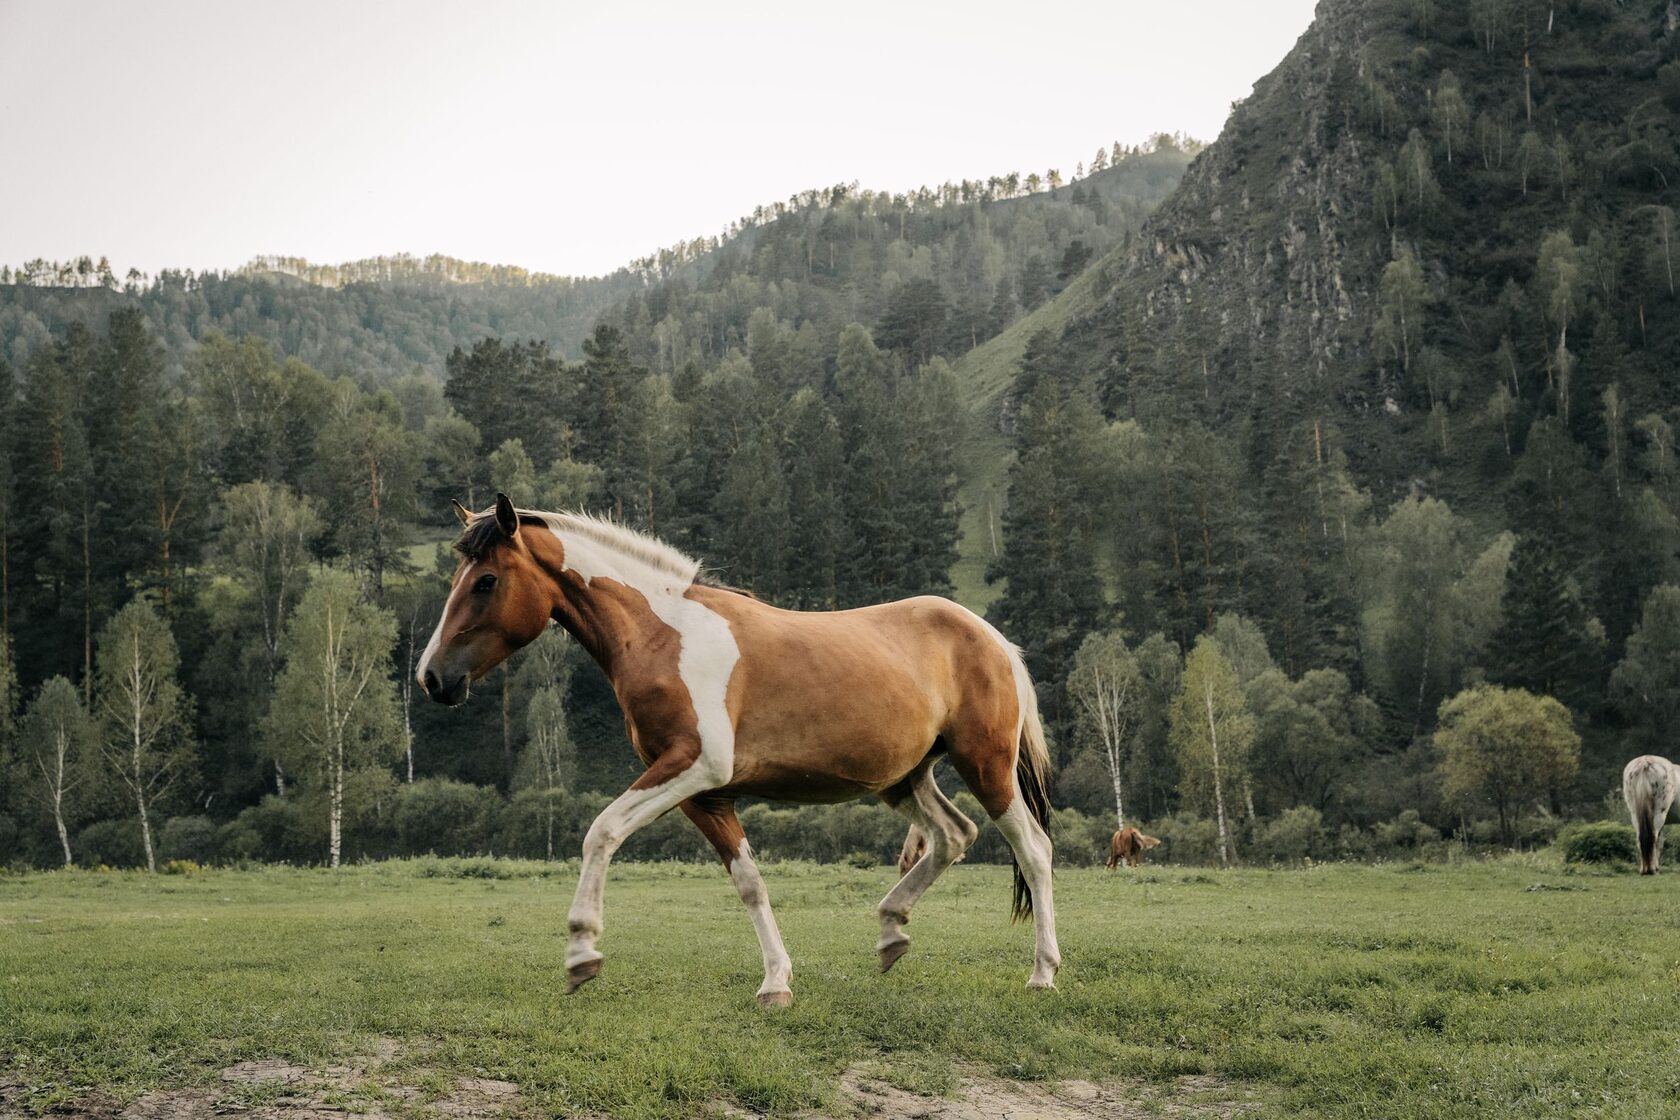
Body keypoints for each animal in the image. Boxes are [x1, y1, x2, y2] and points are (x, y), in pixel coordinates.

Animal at [417, 495, 1059, 1006]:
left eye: (486, 581)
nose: (432, 678)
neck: (661, 636)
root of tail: (992, 638)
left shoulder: (693, 768)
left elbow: (602, 831)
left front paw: (581, 953)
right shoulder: (704, 794)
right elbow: (749, 881)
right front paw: (776, 982)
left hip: (986, 766)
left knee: (1033, 849)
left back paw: (1042, 974)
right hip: (906, 780)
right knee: (953, 836)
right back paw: (891, 932)